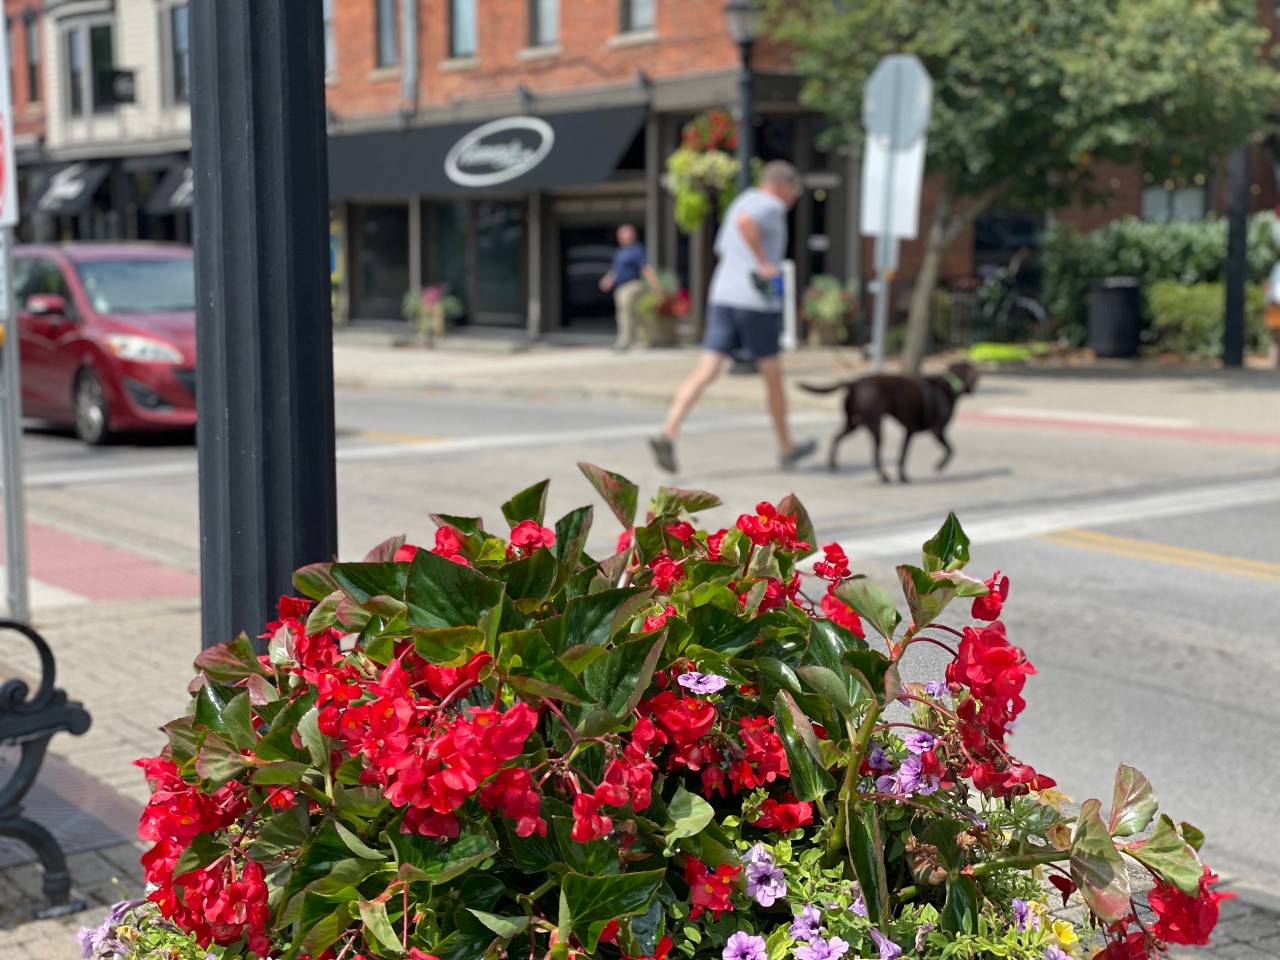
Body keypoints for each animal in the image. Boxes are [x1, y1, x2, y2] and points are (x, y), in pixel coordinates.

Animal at [798, 360, 977, 481]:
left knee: (836, 437)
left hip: (854, 423)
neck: (951, 385)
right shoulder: (937, 430)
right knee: (875, 453)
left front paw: (903, 477)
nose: (973, 390)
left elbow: (902, 456)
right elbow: (951, 450)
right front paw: (939, 466)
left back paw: (833, 464)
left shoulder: (909, 432)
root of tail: (853, 384)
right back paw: (884, 477)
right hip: (874, 424)